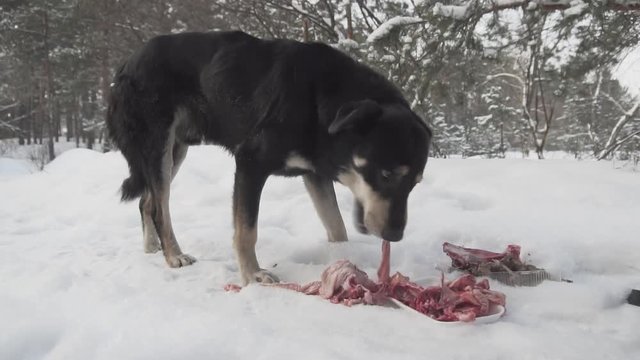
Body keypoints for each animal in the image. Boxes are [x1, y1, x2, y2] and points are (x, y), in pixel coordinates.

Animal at [107, 31, 432, 284]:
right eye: (387, 174)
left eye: (415, 183)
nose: (395, 235)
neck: (320, 102)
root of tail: (125, 64)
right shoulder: (250, 163)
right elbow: (246, 231)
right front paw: (252, 276)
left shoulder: (315, 175)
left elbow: (337, 226)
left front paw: (342, 257)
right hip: (159, 145)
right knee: (159, 207)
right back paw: (173, 255)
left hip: (175, 151)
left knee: (146, 200)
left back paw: (153, 248)